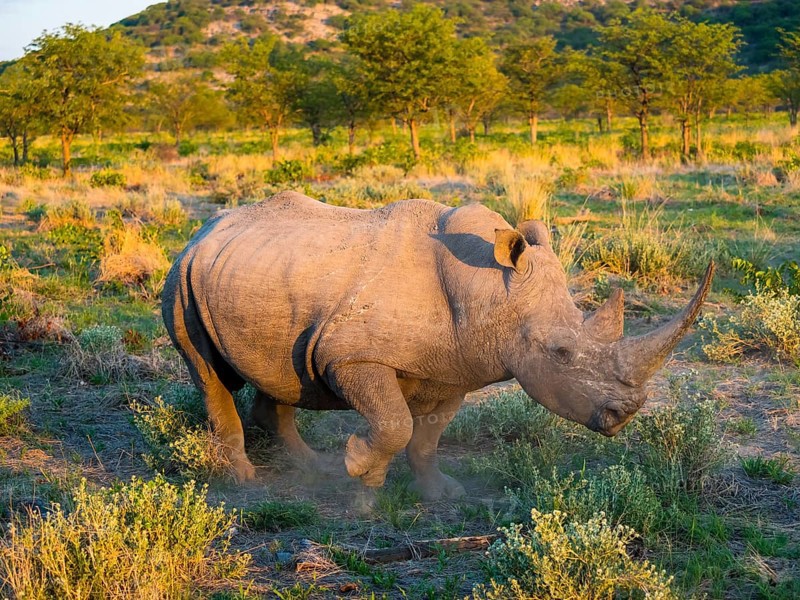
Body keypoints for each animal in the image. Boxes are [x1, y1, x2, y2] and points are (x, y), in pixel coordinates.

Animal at [162, 191, 714, 501]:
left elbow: (426, 437)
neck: (488, 290)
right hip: (182, 278)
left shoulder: (456, 365)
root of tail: (205, 228)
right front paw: (360, 468)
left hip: (262, 275)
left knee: (278, 370)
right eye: (560, 353)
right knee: (208, 374)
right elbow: (395, 424)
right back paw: (245, 481)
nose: (626, 414)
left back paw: (311, 468)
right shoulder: (350, 354)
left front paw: (441, 494)